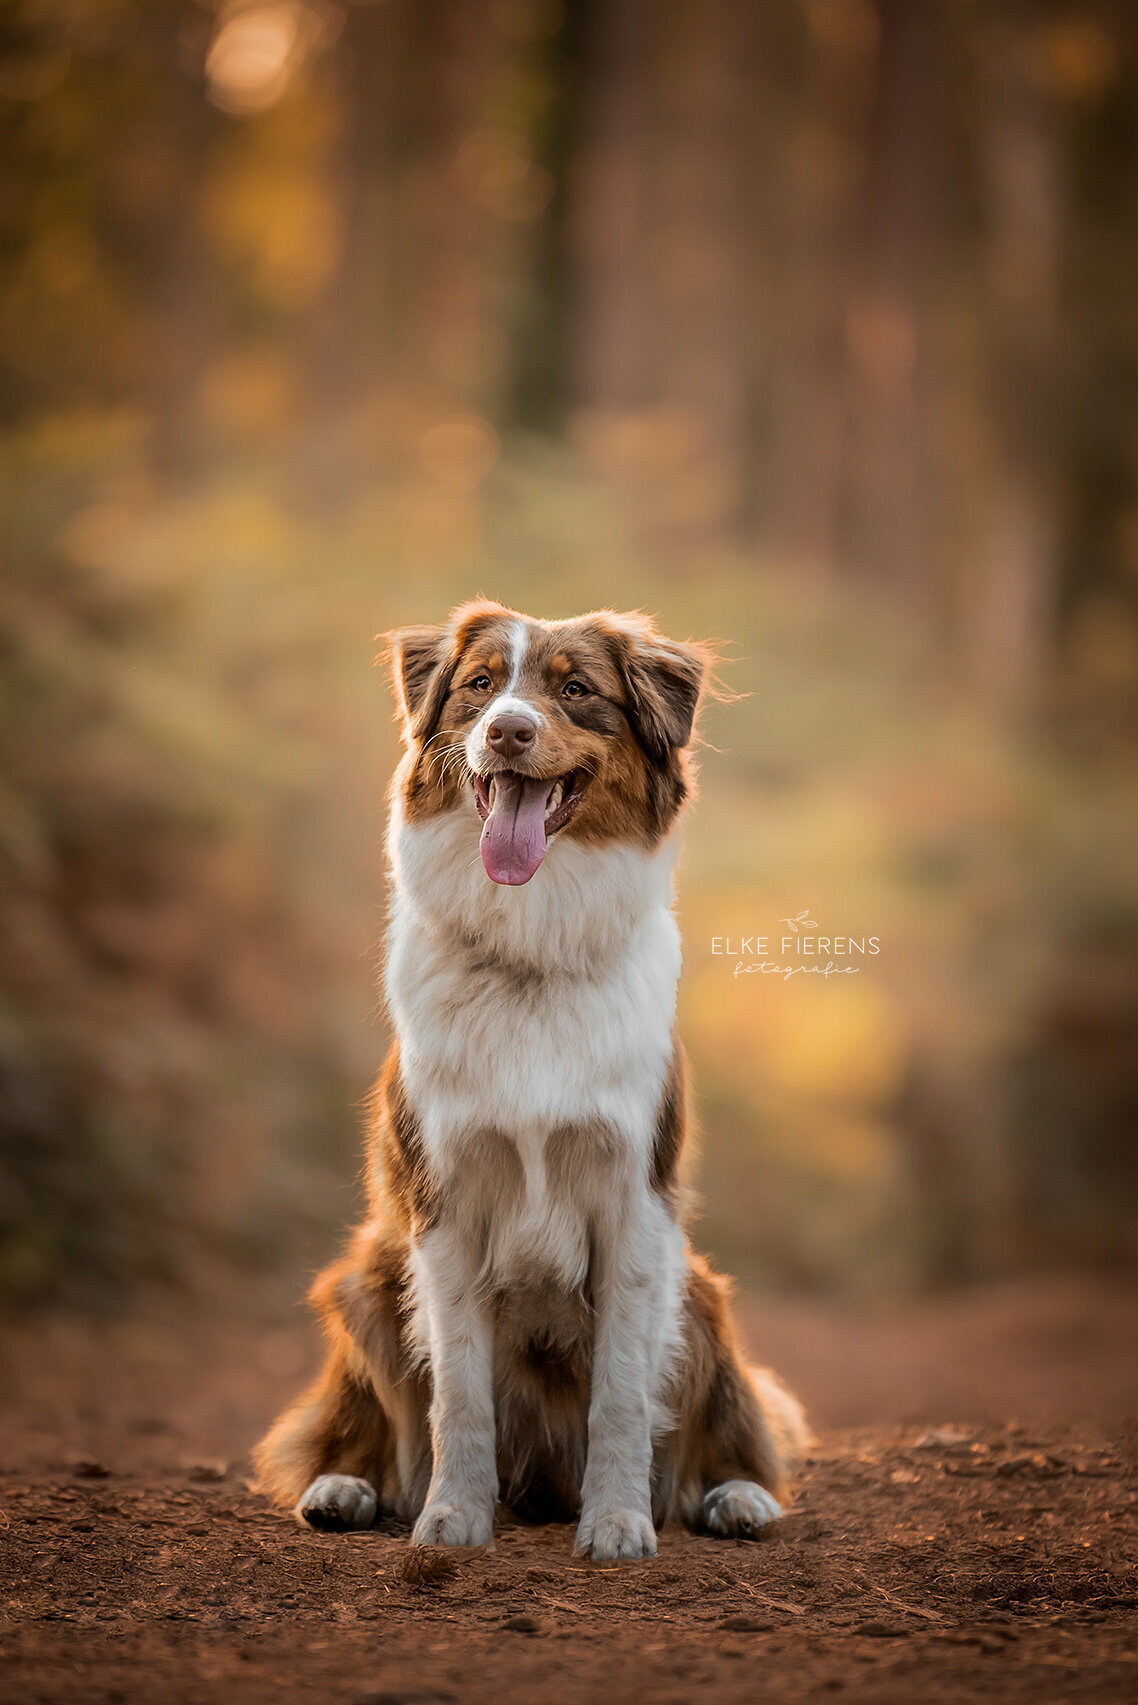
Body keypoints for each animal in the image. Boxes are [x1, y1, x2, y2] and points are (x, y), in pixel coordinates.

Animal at [255, 596, 808, 1561]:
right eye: (479, 685)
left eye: (576, 690)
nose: (508, 731)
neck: (531, 949)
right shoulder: (444, 1206)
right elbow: (458, 1396)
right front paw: (451, 1517)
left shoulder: (634, 1206)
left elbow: (622, 1396)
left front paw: (619, 1521)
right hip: (364, 1276)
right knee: (374, 1430)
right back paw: (349, 1487)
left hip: (700, 1290)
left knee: (726, 1430)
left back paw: (735, 1496)